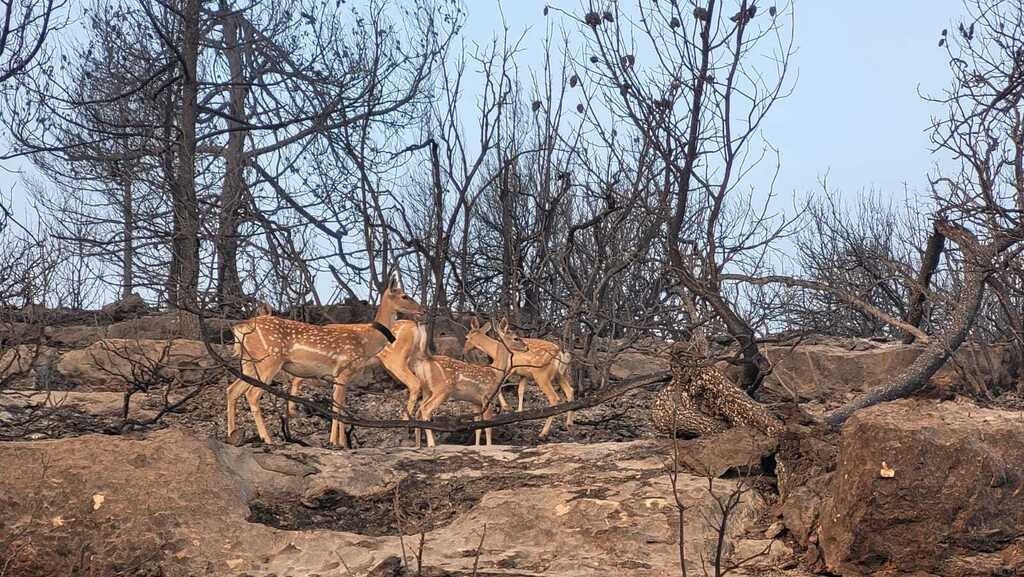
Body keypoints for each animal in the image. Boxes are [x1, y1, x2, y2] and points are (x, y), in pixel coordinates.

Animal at [226, 272, 424, 448]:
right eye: (405, 296)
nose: (423, 309)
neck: (368, 341)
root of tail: (241, 329)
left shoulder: (339, 377)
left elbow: (339, 406)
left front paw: (339, 442)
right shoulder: (343, 371)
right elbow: (336, 408)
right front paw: (335, 443)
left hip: (249, 363)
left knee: (232, 390)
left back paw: (232, 437)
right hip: (268, 360)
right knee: (251, 394)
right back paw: (268, 439)